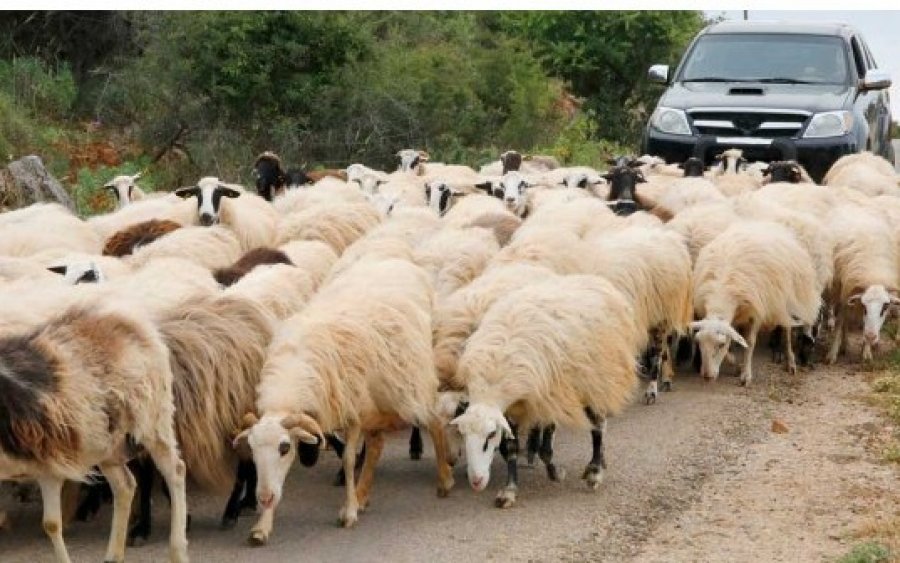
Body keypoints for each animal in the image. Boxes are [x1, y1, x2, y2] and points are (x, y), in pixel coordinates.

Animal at [0, 298, 188, 560]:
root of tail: (130, 319)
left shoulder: (50, 467)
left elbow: (51, 524)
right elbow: (51, 524)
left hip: (153, 419)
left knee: (175, 470)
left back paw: (177, 551)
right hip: (107, 444)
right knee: (125, 485)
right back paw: (113, 556)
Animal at [236, 258, 454, 544]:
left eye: (284, 448)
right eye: (251, 449)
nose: (263, 498)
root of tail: (395, 261)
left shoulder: (353, 412)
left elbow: (349, 461)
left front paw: (349, 512)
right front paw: (263, 525)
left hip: (409, 382)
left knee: (434, 420)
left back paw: (445, 478)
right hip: (377, 397)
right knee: (377, 445)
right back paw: (362, 494)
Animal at [450, 276, 640, 508]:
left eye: (491, 434)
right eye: (462, 434)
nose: (476, 482)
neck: (493, 384)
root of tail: (597, 280)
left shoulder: (550, 397)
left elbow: (545, 448)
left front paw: (556, 473)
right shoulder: (518, 408)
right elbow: (511, 447)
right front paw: (509, 490)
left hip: (597, 378)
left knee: (598, 425)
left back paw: (595, 471)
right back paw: (600, 463)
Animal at [824, 205, 900, 364]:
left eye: (885, 306)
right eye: (865, 306)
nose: (871, 336)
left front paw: (866, 351)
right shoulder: (846, 290)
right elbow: (841, 322)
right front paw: (832, 354)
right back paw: (843, 343)